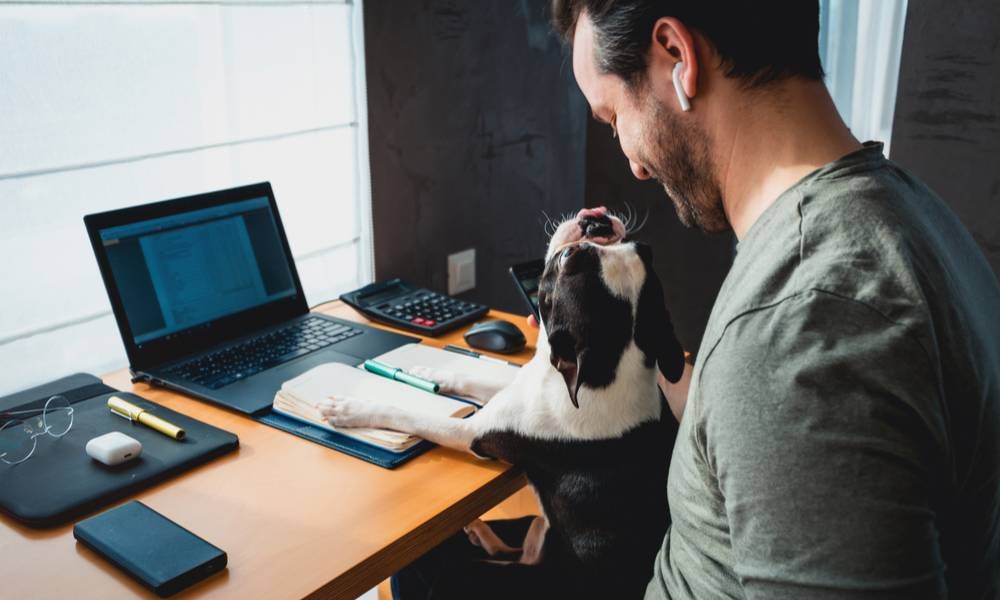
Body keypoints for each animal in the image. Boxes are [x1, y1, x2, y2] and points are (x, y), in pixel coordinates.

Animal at [324, 209, 684, 596]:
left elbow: (410, 415)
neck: (607, 369)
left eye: (568, 261)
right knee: (516, 546)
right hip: (539, 531)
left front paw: (350, 408)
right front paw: (426, 371)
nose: (597, 220)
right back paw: (479, 530)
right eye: (642, 248)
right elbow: (477, 380)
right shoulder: (522, 384)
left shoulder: (470, 432)